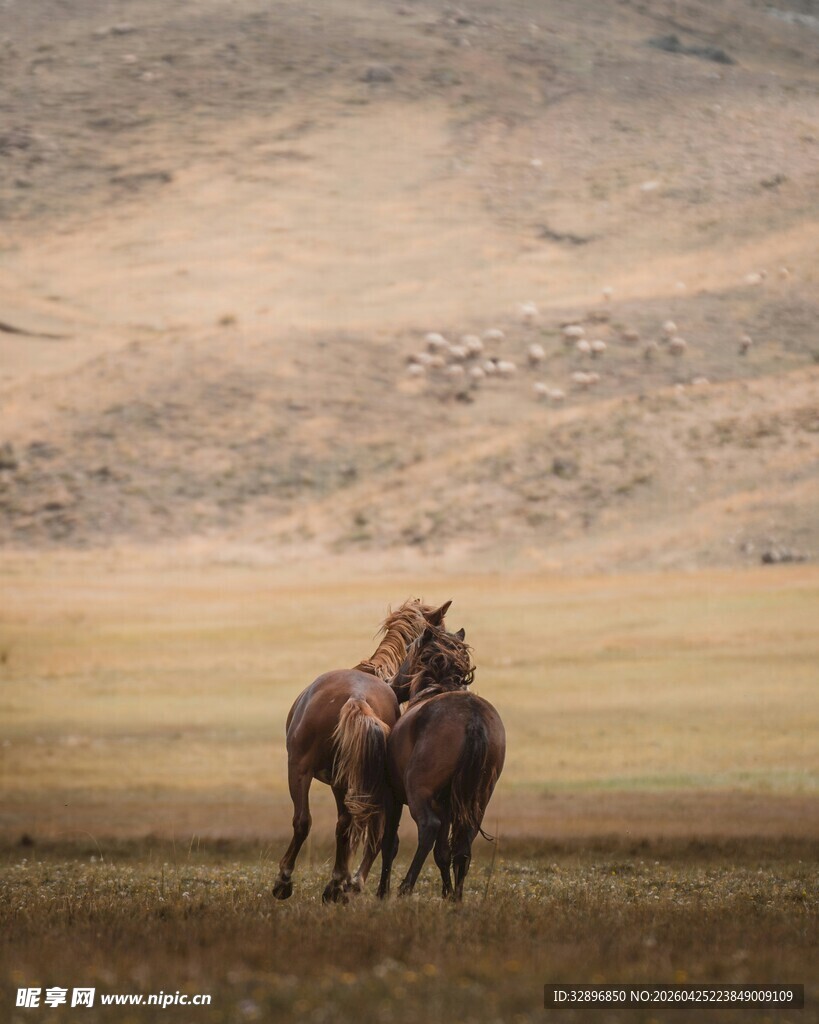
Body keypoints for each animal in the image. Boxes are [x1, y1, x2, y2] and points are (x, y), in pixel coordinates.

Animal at [272, 598, 451, 903]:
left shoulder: (336, 780)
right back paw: (340, 885)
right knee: (358, 829)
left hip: (302, 770)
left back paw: (289, 881)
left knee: (305, 821)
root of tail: (356, 697)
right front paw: (342, 881)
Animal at [377, 624, 505, 901]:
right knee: (463, 842)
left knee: (428, 828)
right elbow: (443, 853)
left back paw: (405, 887)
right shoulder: (448, 804)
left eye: (408, 649)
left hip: (418, 792)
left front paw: (382, 891)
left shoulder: (394, 796)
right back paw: (456, 896)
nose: (390, 683)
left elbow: (389, 843)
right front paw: (446, 892)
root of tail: (473, 719)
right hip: (478, 797)